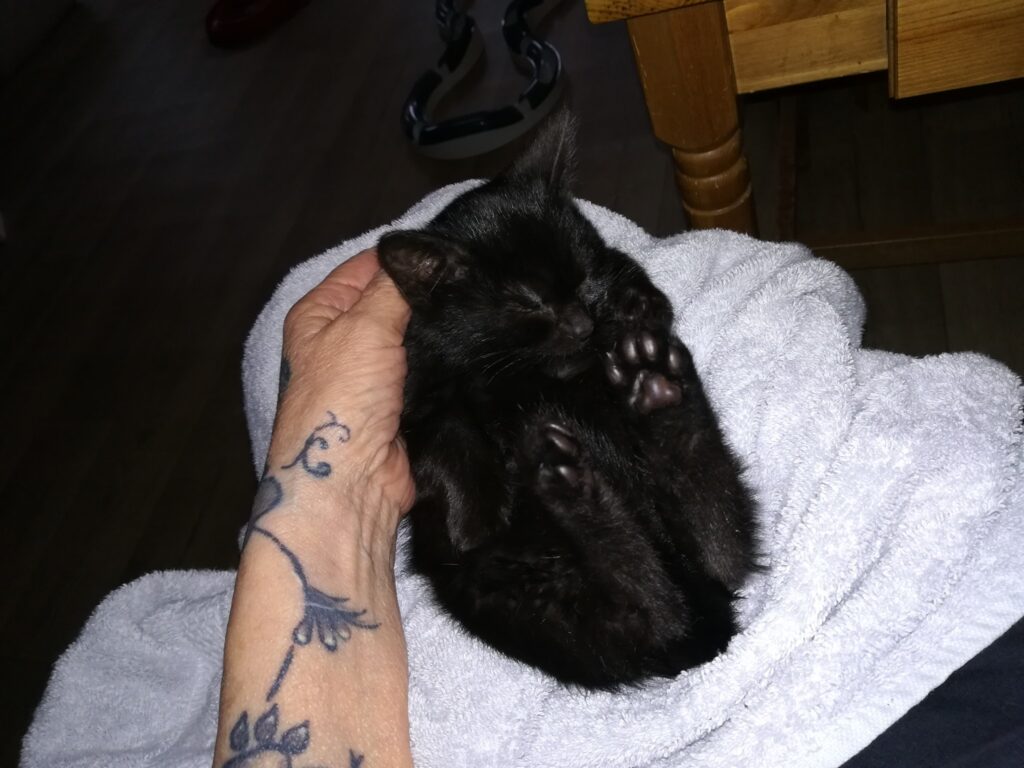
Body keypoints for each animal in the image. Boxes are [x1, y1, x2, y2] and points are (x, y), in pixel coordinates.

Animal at [377, 113, 758, 689]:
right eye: (528, 301)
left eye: (583, 275)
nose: (581, 322)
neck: (520, 369)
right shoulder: (412, 395)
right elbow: (444, 432)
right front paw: (475, 516)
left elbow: (646, 292)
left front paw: (635, 307)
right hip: (533, 596)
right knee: (659, 607)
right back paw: (572, 467)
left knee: (710, 557)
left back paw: (652, 396)